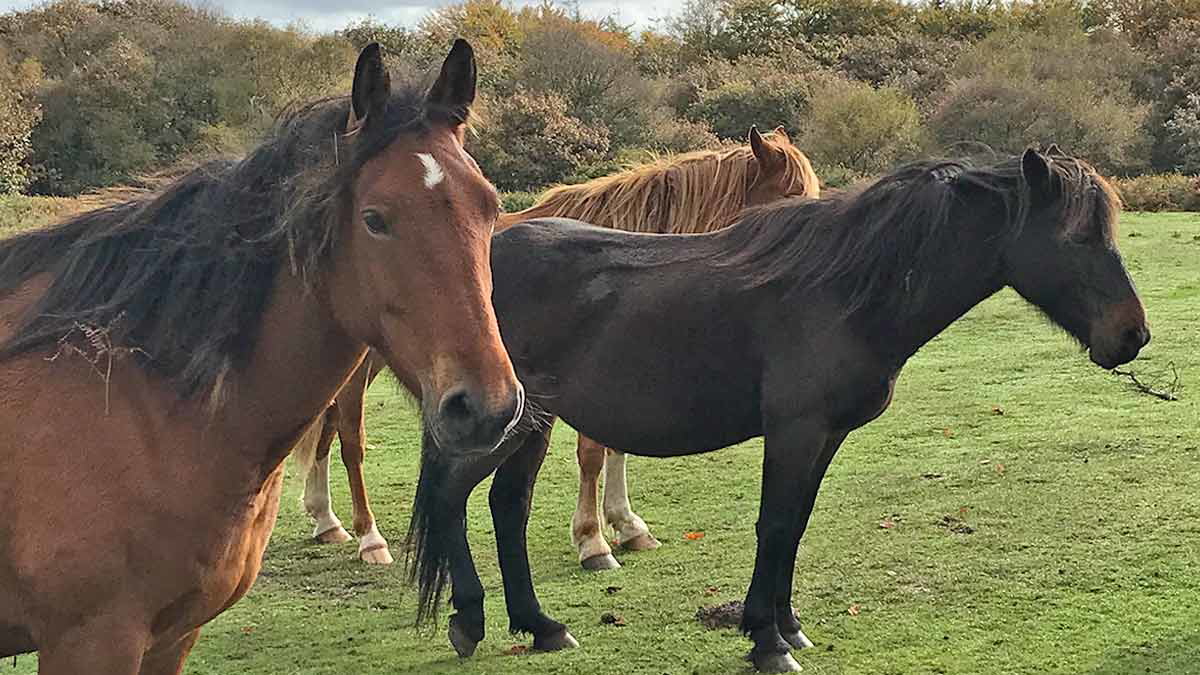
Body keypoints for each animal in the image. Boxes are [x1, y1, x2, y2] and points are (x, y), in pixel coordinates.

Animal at [0, 40, 524, 674]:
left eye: (489, 208)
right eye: (374, 218)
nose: (486, 406)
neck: (133, 399)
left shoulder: (171, 636)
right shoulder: (92, 642)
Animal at [294, 126, 820, 566]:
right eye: (790, 203)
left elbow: (615, 448)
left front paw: (627, 525)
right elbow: (592, 454)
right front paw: (593, 540)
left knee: (324, 430)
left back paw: (327, 520)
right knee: (349, 438)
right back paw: (369, 537)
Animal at [403, 148, 1151, 672]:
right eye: (1077, 238)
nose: (1132, 334)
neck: (846, 292)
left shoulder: (824, 436)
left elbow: (795, 527)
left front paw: (788, 626)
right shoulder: (795, 431)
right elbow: (777, 524)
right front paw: (766, 639)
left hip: (529, 424)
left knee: (506, 506)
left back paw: (542, 626)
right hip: (504, 424)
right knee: (451, 497)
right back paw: (471, 620)